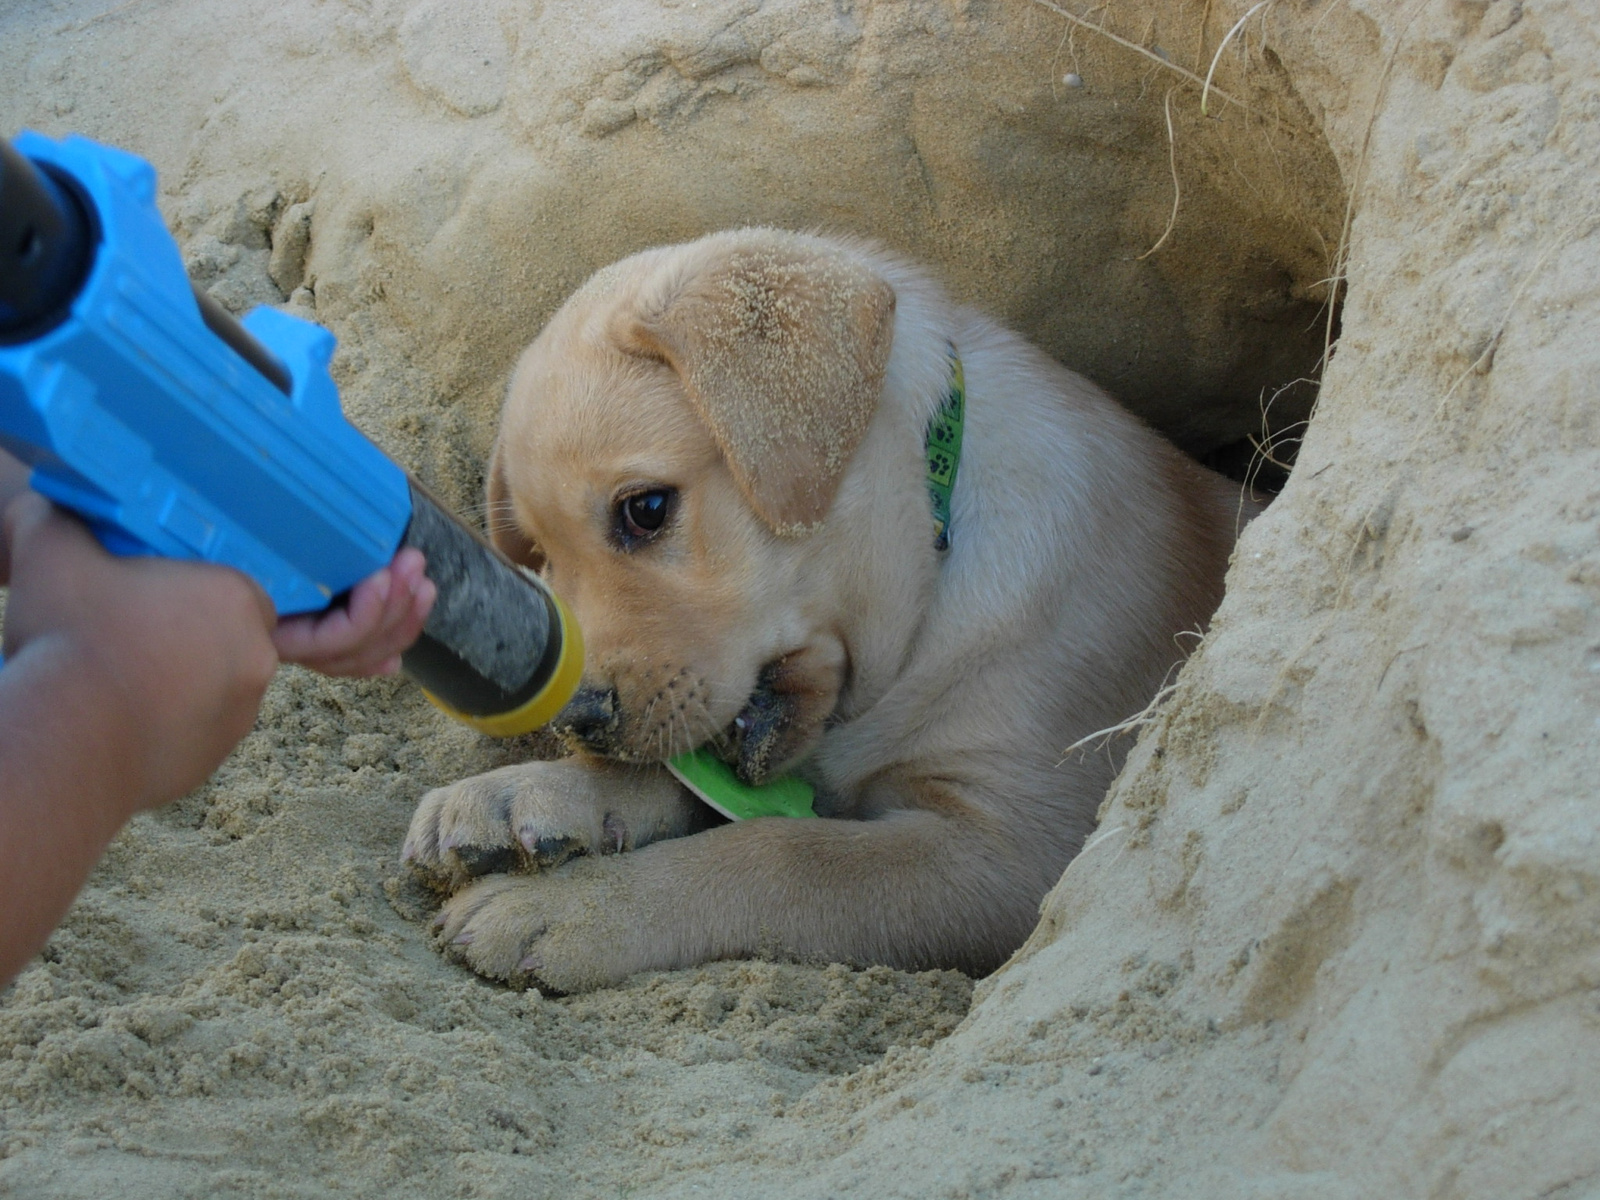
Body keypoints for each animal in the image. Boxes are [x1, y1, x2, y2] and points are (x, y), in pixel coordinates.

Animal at [400, 227, 1248, 998]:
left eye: (646, 509)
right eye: (542, 557)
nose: (575, 719)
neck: (933, 582)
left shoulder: (1017, 853)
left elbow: (784, 854)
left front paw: (576, 910)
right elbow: (702, 787)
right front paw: (527, 794)